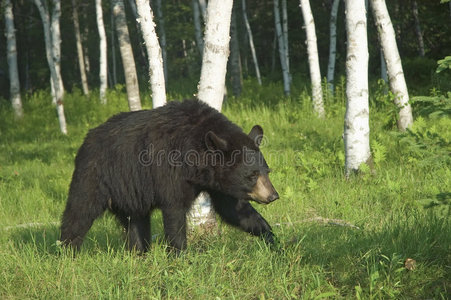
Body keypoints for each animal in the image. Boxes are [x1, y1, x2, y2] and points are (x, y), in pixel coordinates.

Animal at [60, 99, 278, 252]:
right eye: (252, 175)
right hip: (95, 176)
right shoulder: (169, 172)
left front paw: (272, 239)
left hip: (131, 194)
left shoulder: (217, 181)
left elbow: (234, 209)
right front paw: (180, 255)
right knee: (79, 212)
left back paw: (139, 252)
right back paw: (67, 251)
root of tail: (87, 139)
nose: (273, 195)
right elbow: (175, 212)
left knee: (136, 224)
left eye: (266, 171)